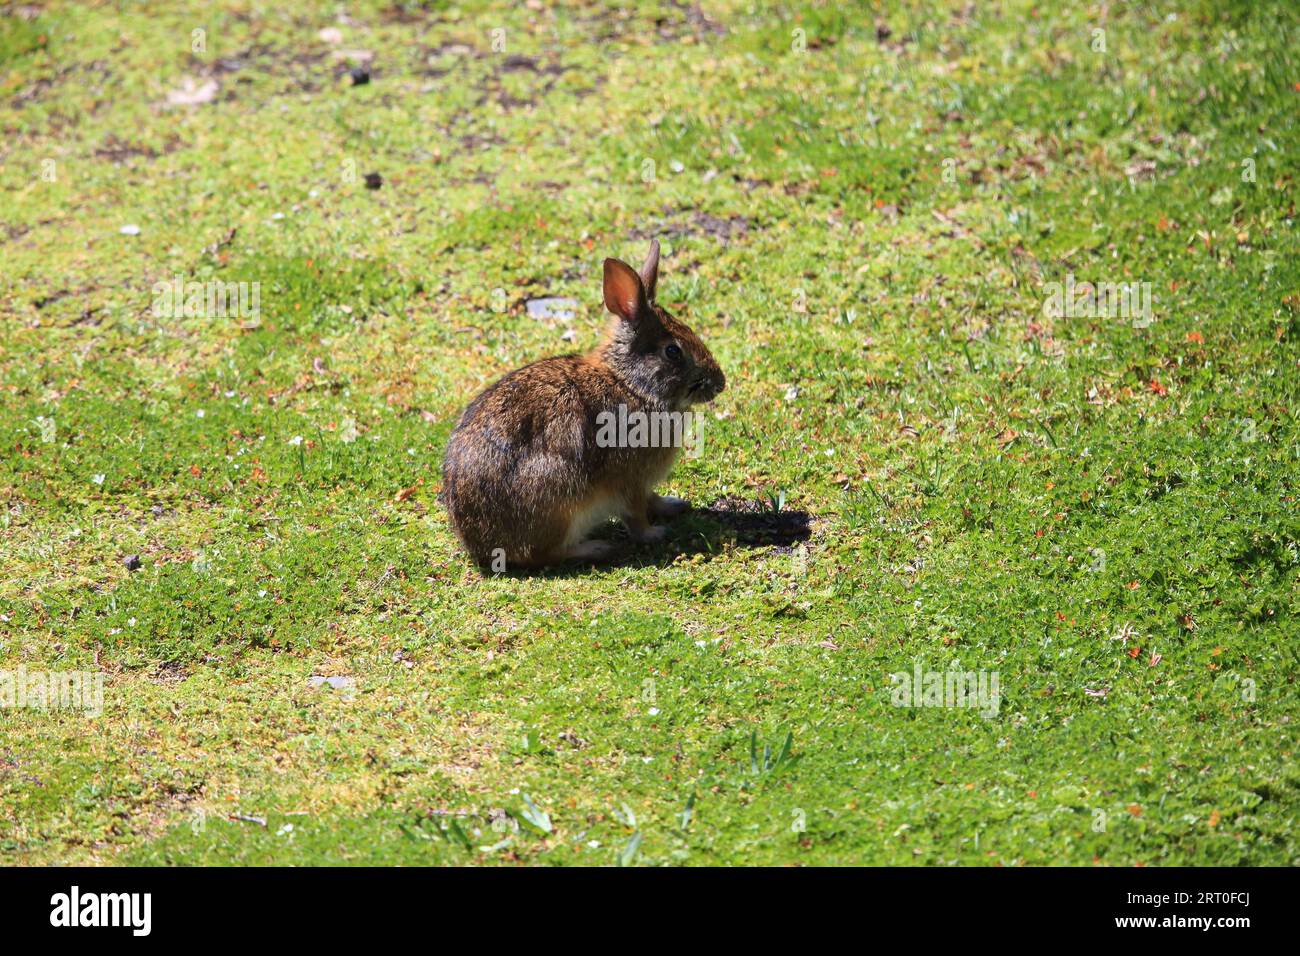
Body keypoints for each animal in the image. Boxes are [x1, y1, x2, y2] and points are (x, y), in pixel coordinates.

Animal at [441, 239, 728, 567]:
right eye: (672, 351)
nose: (720, 383)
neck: (631, 385)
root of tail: (480, 546)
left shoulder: (643, 482)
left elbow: (651, 498)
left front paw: (672, 504)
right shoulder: (628, 479)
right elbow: (635, 514)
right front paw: (654, 533)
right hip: (559, 498)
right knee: (542, 553)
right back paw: (596, 547)